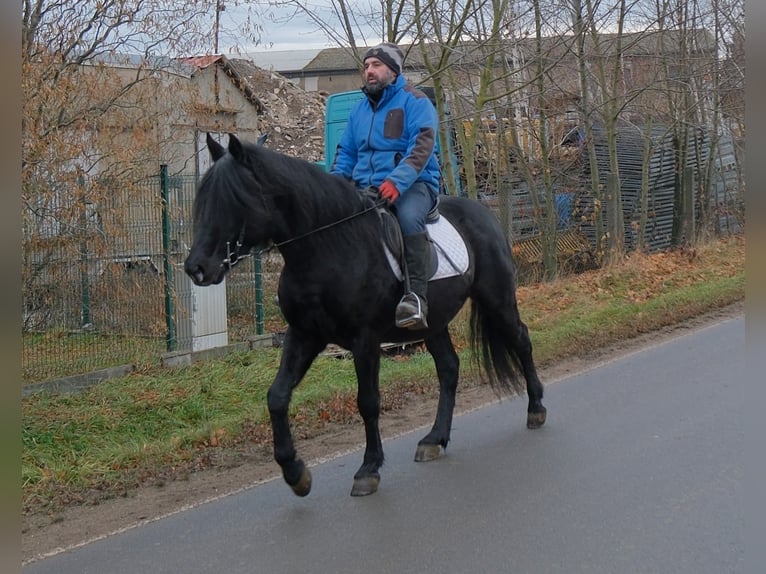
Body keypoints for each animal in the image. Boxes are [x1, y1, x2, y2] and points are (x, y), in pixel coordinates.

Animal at [184, 133, 547, 497]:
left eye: (233, 200)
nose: (196, 268)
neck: (326, 248)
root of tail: (484, 213)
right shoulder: (304, 335)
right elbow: (277, 396)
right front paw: (295, 471)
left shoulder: (365, 340)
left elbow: (368, 402)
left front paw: (368, 469)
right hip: (434, 323)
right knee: (449, 368)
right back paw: (435, 439)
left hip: (497, 299)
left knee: (522, 340)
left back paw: (536, 409)